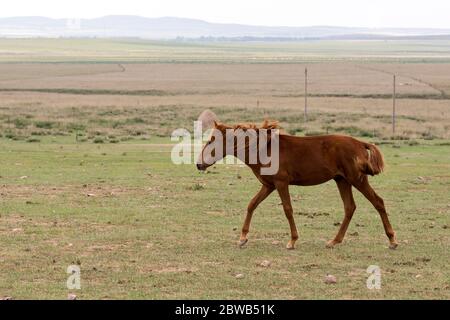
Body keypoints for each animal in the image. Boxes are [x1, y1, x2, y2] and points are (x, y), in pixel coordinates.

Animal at [196, 117, 398, 250]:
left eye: (212, 140)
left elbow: (287, 209)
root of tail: (359, 143)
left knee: (378, 202)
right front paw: (242, 238)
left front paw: (292, 241)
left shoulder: (281, 183)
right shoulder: (269, 186)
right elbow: (252, 205)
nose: (199, 164)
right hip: (342, 180)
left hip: (357, 179)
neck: (264, 148)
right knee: (350, 207)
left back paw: (392, 240)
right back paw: (334, 241)